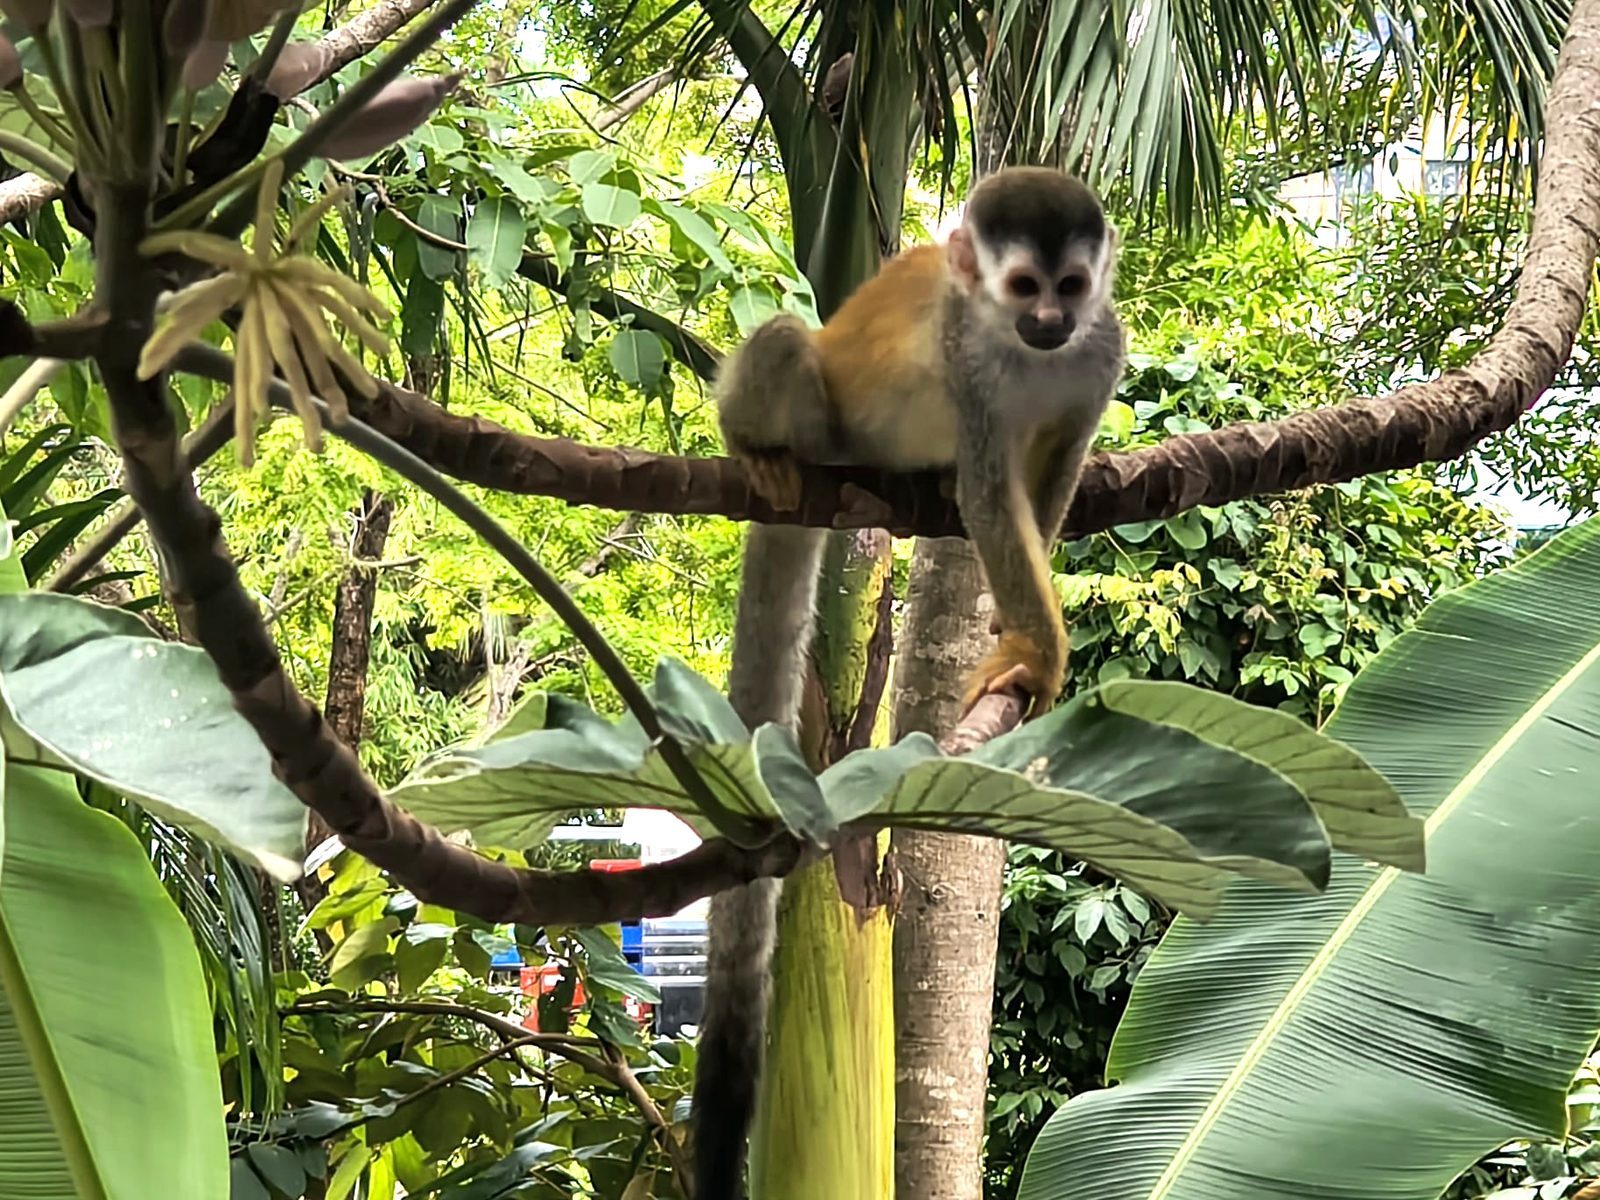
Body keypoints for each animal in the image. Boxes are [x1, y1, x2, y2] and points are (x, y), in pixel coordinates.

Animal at [690, 166, 1126, 1200]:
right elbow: (989, 492)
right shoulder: (970, 364)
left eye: (1070, 287)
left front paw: (1015, 630)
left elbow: (1046, 479)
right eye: (1022, 288)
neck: (1025, 350)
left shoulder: (1101, 354)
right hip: (823, 422)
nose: (1049, 322)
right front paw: (1037, 645)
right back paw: (756, 448)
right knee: (784, 342)